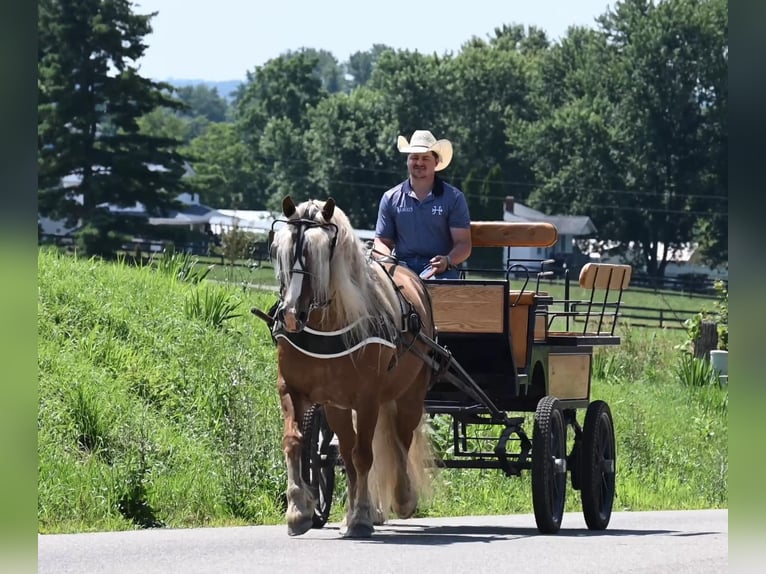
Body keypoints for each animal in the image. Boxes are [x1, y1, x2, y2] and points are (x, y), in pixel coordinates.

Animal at [260, 198, 436, 540]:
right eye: (281, 250)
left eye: (317, 254)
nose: (291, 315)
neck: (325, 326)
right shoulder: (292, 389)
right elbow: (295, 442)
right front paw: (299, 510)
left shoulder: (367, 399)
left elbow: (365, 454)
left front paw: (362, 518)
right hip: (337, 407)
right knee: (351, 451)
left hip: (409, 394)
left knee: (400, 441)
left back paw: (402, 498)